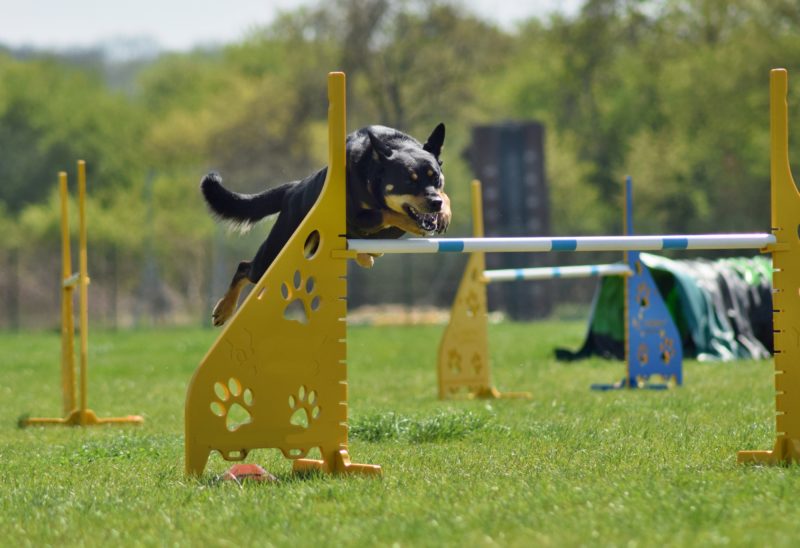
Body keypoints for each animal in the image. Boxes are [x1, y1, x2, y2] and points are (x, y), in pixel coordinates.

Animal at [200, 123, 450, 326]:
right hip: (277, 251)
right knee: (245, 267)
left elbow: (445, 196)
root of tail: (294, 188)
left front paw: (445, 212)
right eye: (409, 180)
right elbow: (387, 213)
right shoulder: (360, 216)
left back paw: (367, 255)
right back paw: (223, 310)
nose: (434, 203)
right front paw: (416, 222)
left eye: (435, 177)